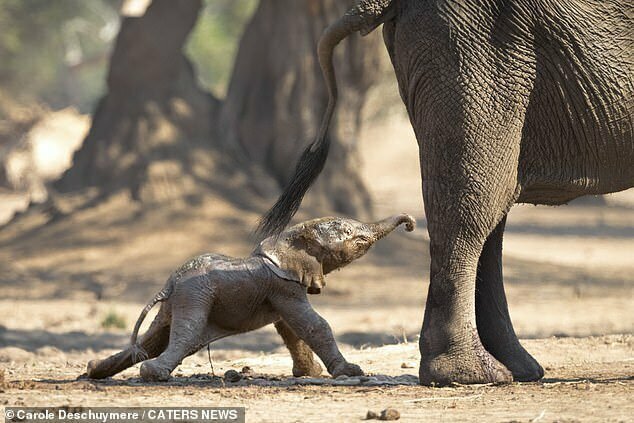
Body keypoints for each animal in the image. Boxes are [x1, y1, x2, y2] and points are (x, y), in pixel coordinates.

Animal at [86, 214, 412, 382]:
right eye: (355, 237)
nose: (409, 223)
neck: (289, 237)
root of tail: (169, 284)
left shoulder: (280, 291)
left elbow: (291, 329)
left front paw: (310, 374)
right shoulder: (283, 286)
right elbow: (313, 324)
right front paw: (350, 372)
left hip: (175, 303)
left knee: (152, 340)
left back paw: (93, 371)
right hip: (195, 295)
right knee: (185, 335)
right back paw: (153, 375)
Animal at [258, 0, 632, 388]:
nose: (408, 223)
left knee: (489, 209)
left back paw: (515, 370)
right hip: (477, 51)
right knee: (472, 207)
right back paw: (471, 374)